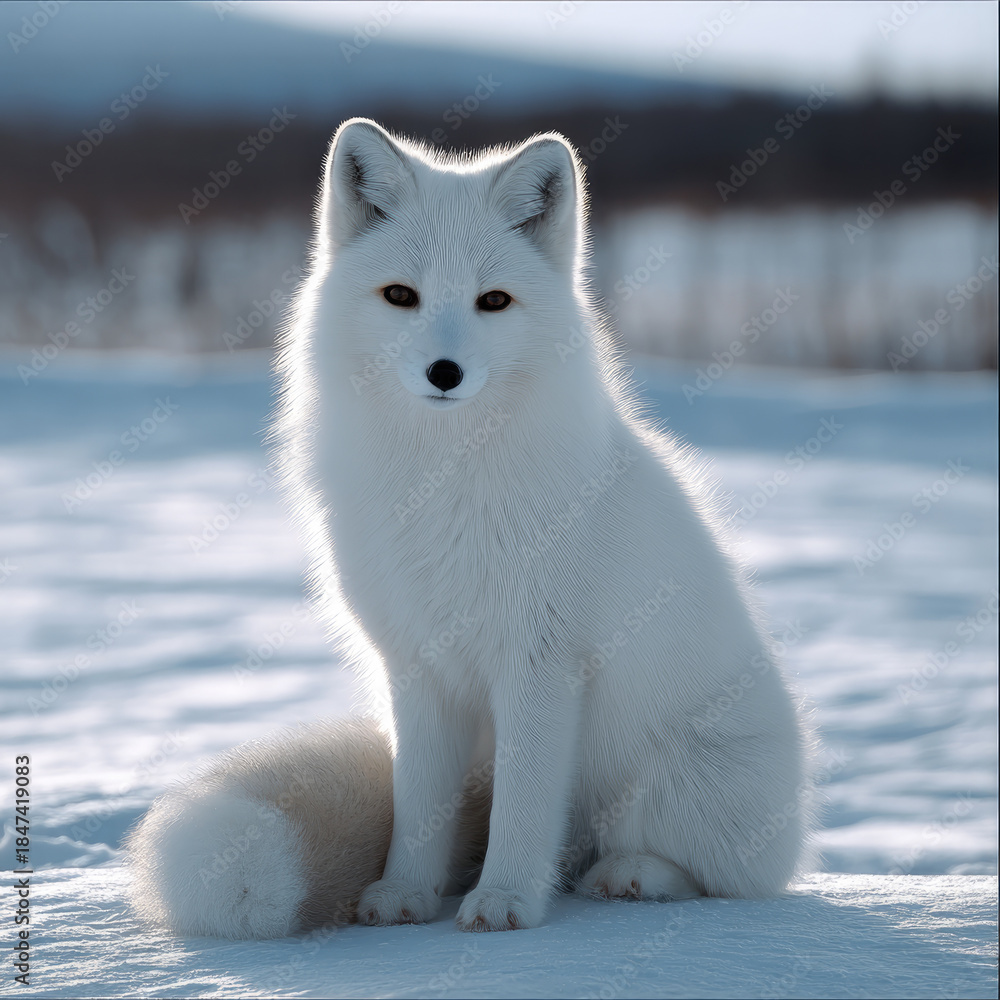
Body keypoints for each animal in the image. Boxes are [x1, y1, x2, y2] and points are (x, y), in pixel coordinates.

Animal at [126, 119, 810, 939]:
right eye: (401, 296)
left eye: (494, 301)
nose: (444, 371)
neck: (443, 485)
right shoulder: (416, 667)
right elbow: (418, 807)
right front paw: (403, 895)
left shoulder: (540, 661)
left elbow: (525, 804)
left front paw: (506, 901)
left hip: (677, 786)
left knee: (717, 876)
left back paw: (629, 877)